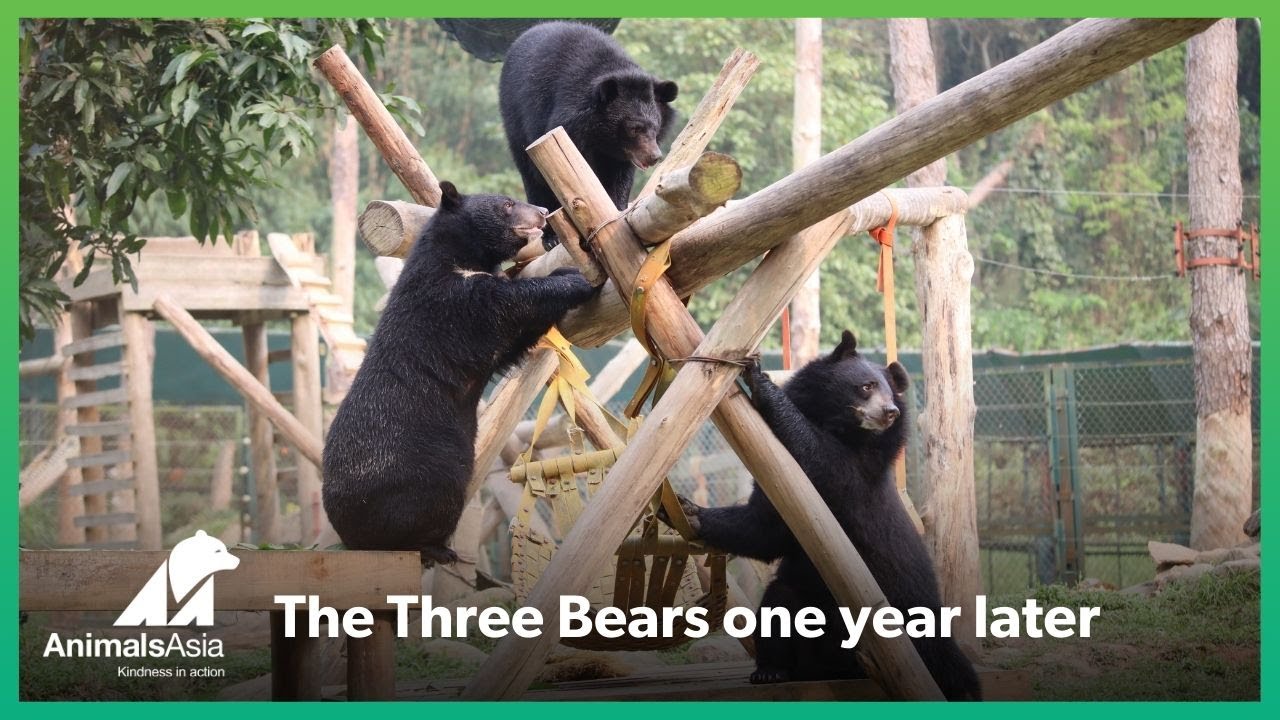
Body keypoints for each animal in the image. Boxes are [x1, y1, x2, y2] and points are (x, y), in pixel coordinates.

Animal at [322, 181, 597, 565]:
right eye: (507, 205)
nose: (543, 211)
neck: (460, 257)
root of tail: (348, 533)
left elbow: (513, 343)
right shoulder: (451, 304)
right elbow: (507, 303)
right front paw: (572, 278)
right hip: (421, 472)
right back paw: (435, 548)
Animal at [499, 21, 679, 248]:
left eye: (655, 127)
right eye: (634, 128)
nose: (654, 157)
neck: (601, 137)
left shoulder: (622, 154)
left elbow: (621, 176)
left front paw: (617, 209)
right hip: (515, 122)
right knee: (532, 175)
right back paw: (550, 237)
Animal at [667, 330, 982, 699]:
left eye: (890, 394)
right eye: (866, 386)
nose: (889, 411)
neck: (841, 426)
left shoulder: (856, 474)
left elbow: (819, 456)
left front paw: (761, 381)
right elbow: (764, 529)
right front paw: (684, 512)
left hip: (917, 622)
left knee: (951, 669)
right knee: (779, 605)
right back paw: (771, 671)